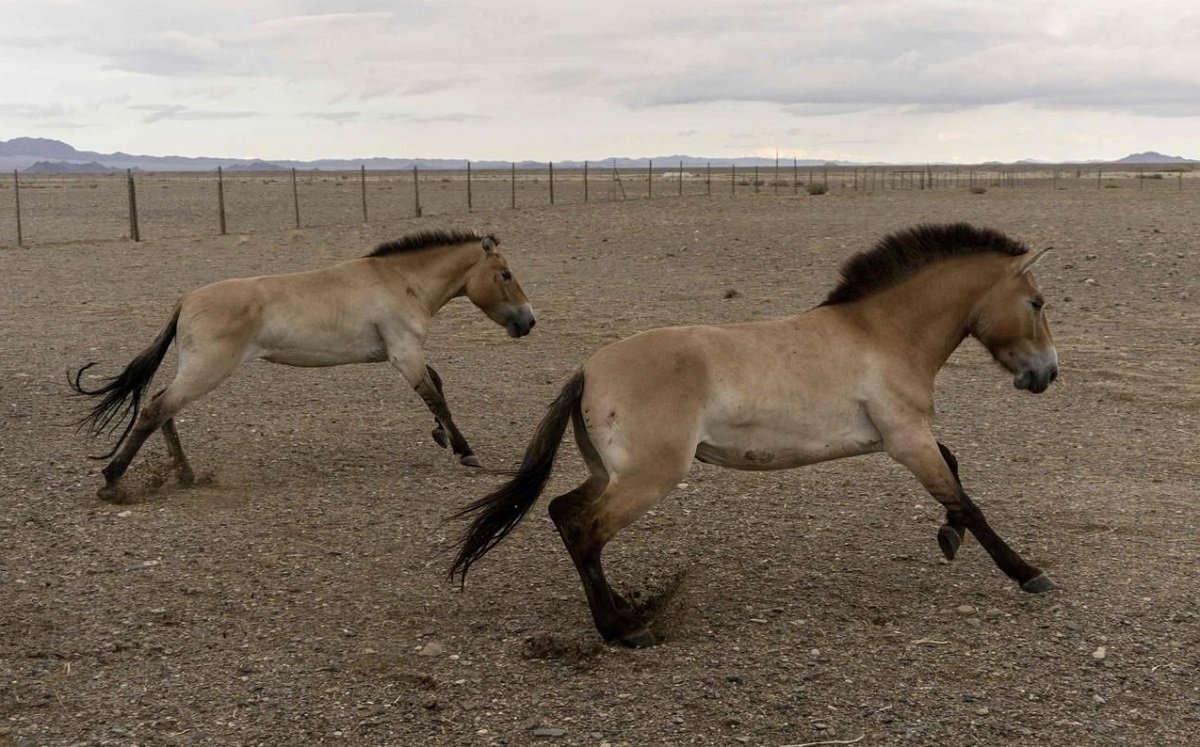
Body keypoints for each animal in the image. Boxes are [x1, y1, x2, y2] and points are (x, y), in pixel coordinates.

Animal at [70, 228, 535, 502]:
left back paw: (184, 475)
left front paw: (443, 438)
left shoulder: (405, 354)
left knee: (163, 407)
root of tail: (186, 299)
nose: (529, 321)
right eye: (506, 274)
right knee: (155, 409)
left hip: (196, 371)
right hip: (206, 370)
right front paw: (466, 452)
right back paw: (112, 480)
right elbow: (436, 396)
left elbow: (438, 389)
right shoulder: (405, 353)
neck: (401, 282)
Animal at [450, 223, 1059, 648]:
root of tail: (588, 370)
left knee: (563, 513)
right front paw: (1028, 574)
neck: (882, 333)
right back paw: (623, 629)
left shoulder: (899, 437)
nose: (1047, 374)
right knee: (585, 529)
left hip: (610, 473)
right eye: (1036, 302)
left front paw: (950, 537)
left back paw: (625, 610)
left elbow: (954, 472)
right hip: (648, 478)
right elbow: (966, 497)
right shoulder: (907, 437)